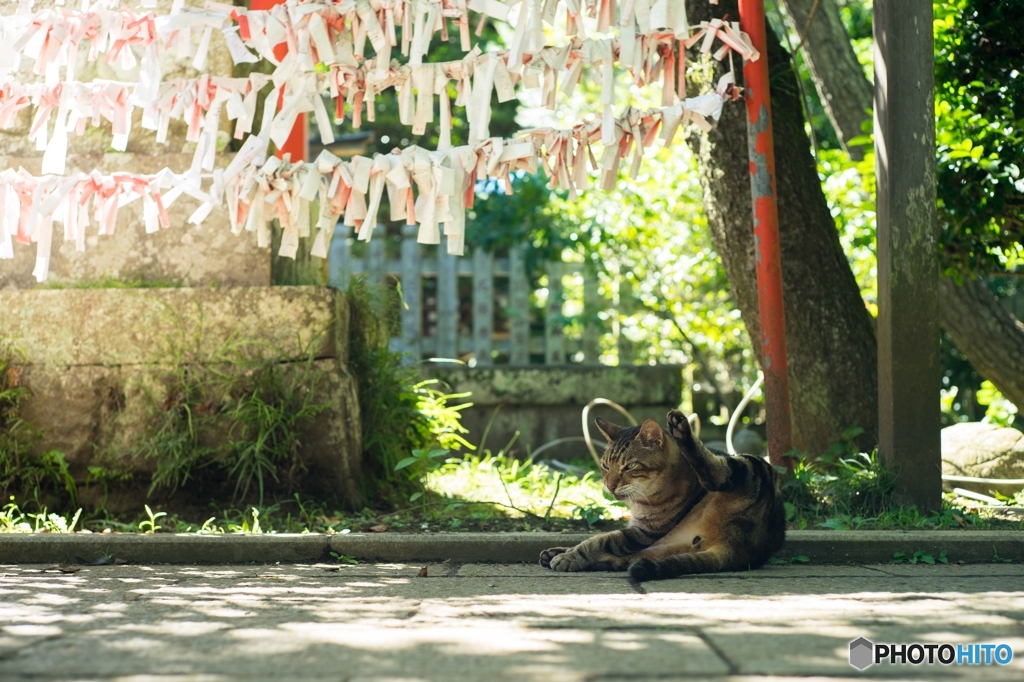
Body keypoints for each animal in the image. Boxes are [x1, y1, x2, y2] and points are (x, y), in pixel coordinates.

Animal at [540, 409, 786, 577]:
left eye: (630, 466)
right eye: (605, 466)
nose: (609, 485)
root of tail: (738, 548)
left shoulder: (644, 533)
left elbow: (599, 540)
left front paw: (571, 555)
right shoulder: (643, 535)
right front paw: (564, 551)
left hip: (752, 466)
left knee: (716, 473)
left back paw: (682, 430)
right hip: (663, 547)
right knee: (626, 561)